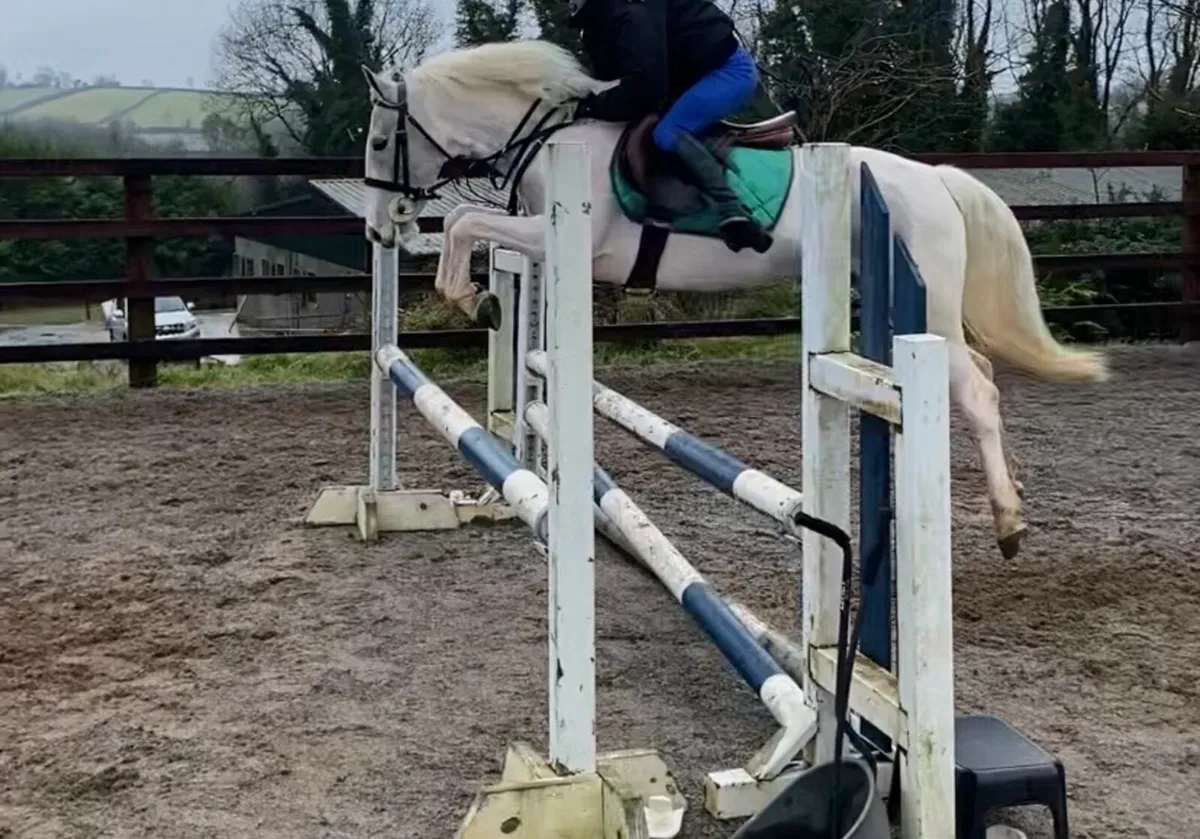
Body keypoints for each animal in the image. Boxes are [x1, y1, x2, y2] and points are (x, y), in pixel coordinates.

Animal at [357, 39, 1109, 559]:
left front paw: (472, 299)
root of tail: (936, 179)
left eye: (380, 138)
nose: (380, 228)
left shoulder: (557, 234)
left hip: (928, 306)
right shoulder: (539, 241)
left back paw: (1009, 523)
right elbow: (464, 222)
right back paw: (1014, 494)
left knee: (975, 389)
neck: (545, 141)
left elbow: (462, 221)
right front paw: (480, 301)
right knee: (981, 377)